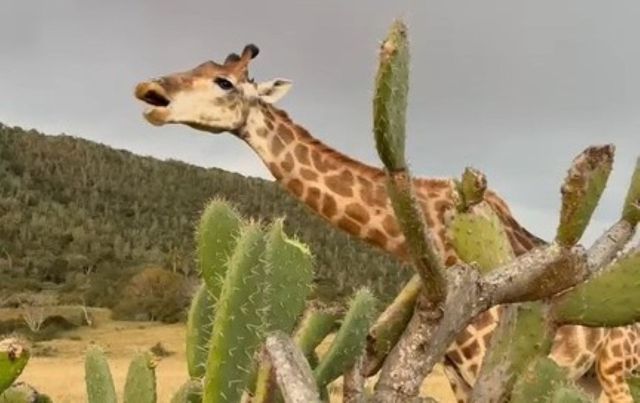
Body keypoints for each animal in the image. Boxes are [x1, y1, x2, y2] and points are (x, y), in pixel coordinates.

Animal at [133, 44, 635, 402]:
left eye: (224, 82)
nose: (149, 92)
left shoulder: (493, 363)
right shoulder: (457, 373)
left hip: (618, 371)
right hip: (588, 378)